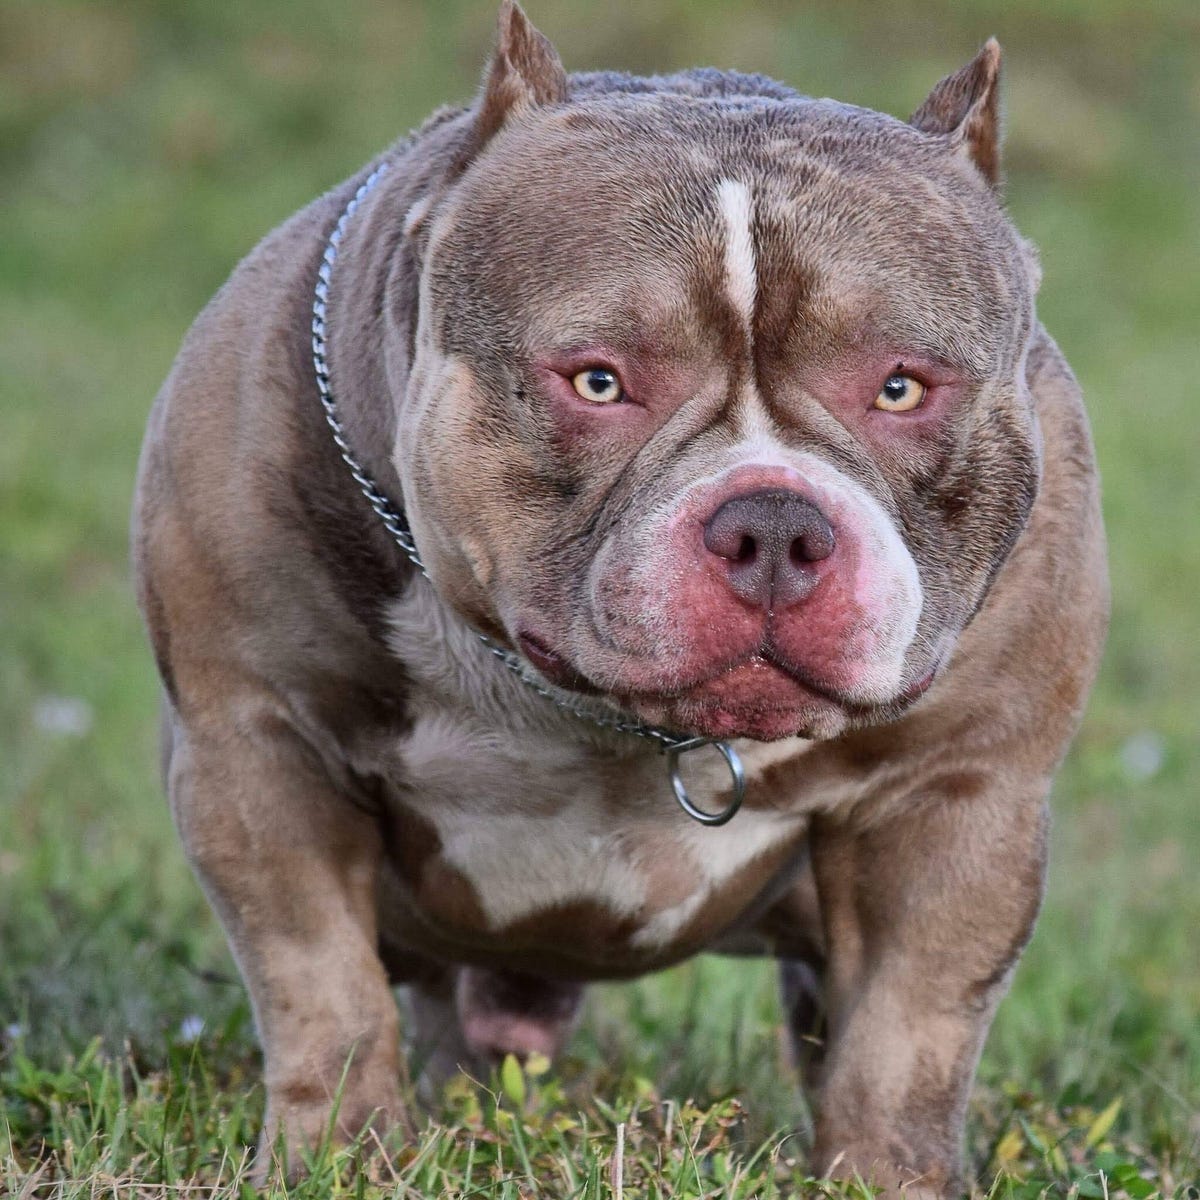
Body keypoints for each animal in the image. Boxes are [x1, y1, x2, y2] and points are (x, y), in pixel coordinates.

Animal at [131, 7, 1104, 1190]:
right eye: (598, 381)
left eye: (902, 387)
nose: (774, 526)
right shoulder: (261, 747)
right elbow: (320, 982)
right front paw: (341, 1157)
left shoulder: (957, 793)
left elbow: (905, 1040)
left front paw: (887, 1176)